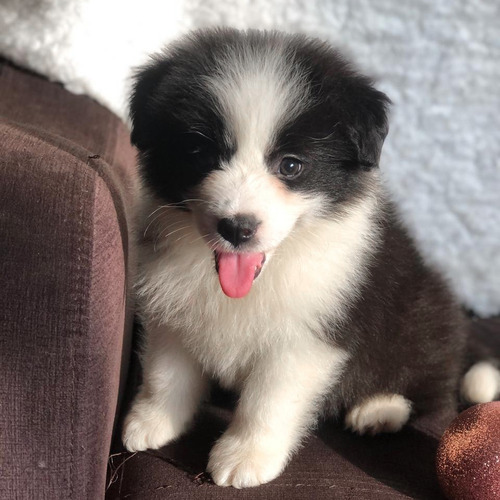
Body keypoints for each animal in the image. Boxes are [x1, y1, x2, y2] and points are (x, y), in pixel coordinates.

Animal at [122, 28, 500, 488]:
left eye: (291, 166)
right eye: (203, 155)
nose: (237, 227)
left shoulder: (306, 333)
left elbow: (269, 399)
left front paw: (246, 456)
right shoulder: (172, 307)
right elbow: (166, 373)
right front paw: (151, 422)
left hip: (420, 307)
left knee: (431, 383)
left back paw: (380, 408)